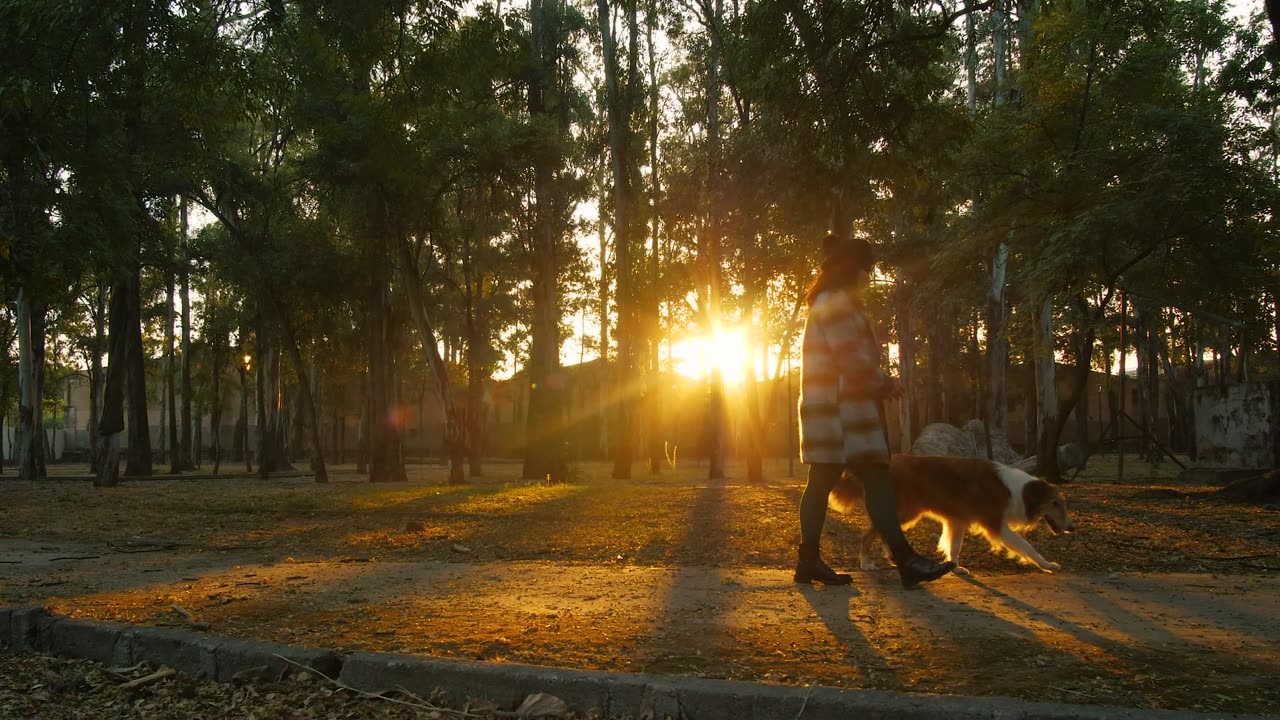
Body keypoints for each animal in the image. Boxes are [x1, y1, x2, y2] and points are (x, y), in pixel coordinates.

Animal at [834, 453, 1075, 571]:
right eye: (1055, 503)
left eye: (1062, 503)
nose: (1072, 528)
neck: (1020, 492)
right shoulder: (996, 524)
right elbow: (1027, 547)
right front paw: (1047, 565)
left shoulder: (957, 521)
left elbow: (954, 546)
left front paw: (955, 567)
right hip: (905, 511)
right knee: (867, 535)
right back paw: (866, 564)